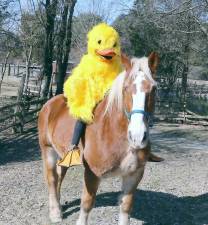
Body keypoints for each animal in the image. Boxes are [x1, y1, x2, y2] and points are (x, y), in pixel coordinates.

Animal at [37, 51, 159, 224]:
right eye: (126, 88)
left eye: (154, 89)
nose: (137, 136)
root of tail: (49, 104)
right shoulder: (92, 173)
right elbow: (87, 204)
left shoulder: (134, 175)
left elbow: (125, 207)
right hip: (47, 150)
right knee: (52, 178)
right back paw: (55, 213)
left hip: (63, 155)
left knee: (60, 176)